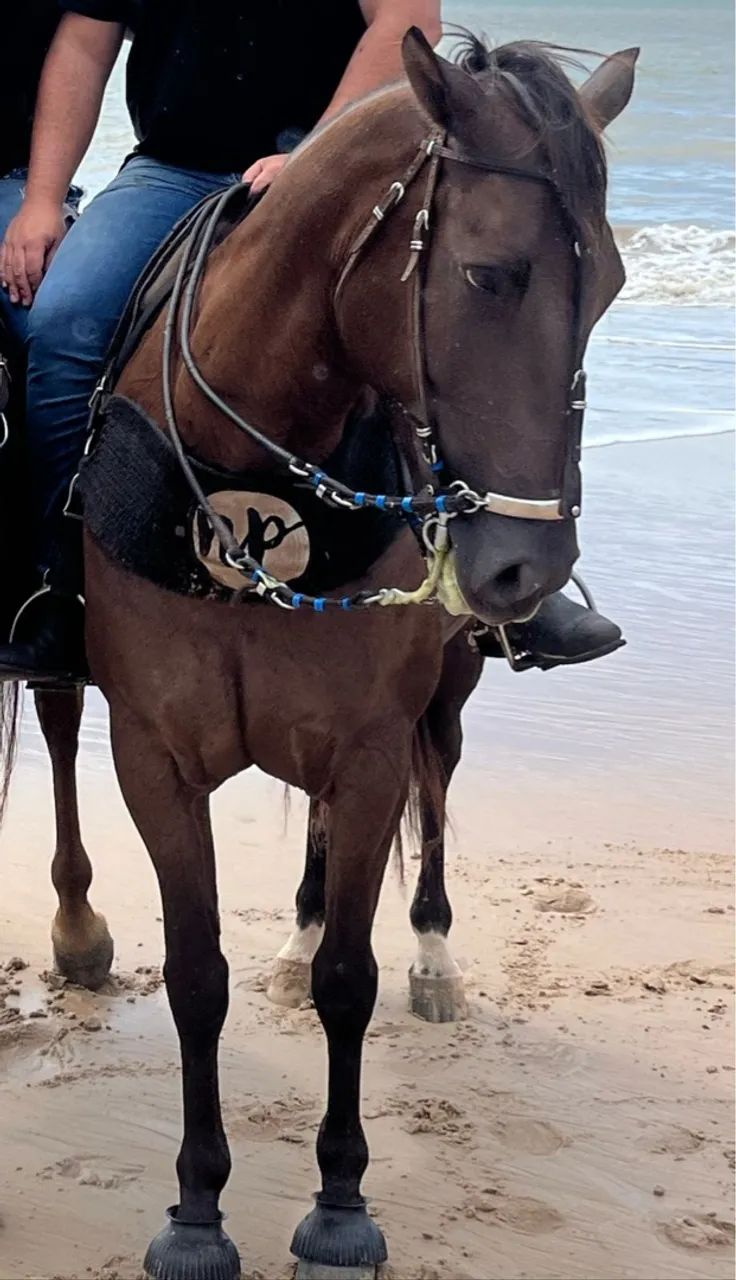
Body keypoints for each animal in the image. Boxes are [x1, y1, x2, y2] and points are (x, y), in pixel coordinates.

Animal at [0, 29, 637, 1280]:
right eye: (488, 274)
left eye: (612, 287)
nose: (526, 568)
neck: (256, 463)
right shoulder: (154, 751)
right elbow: (197, 974)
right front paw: (196, 1209)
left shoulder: (369, 739)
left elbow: (354, 973)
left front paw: (339, 1205)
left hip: (444, 685)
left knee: (435, 788)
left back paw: (431, 953)